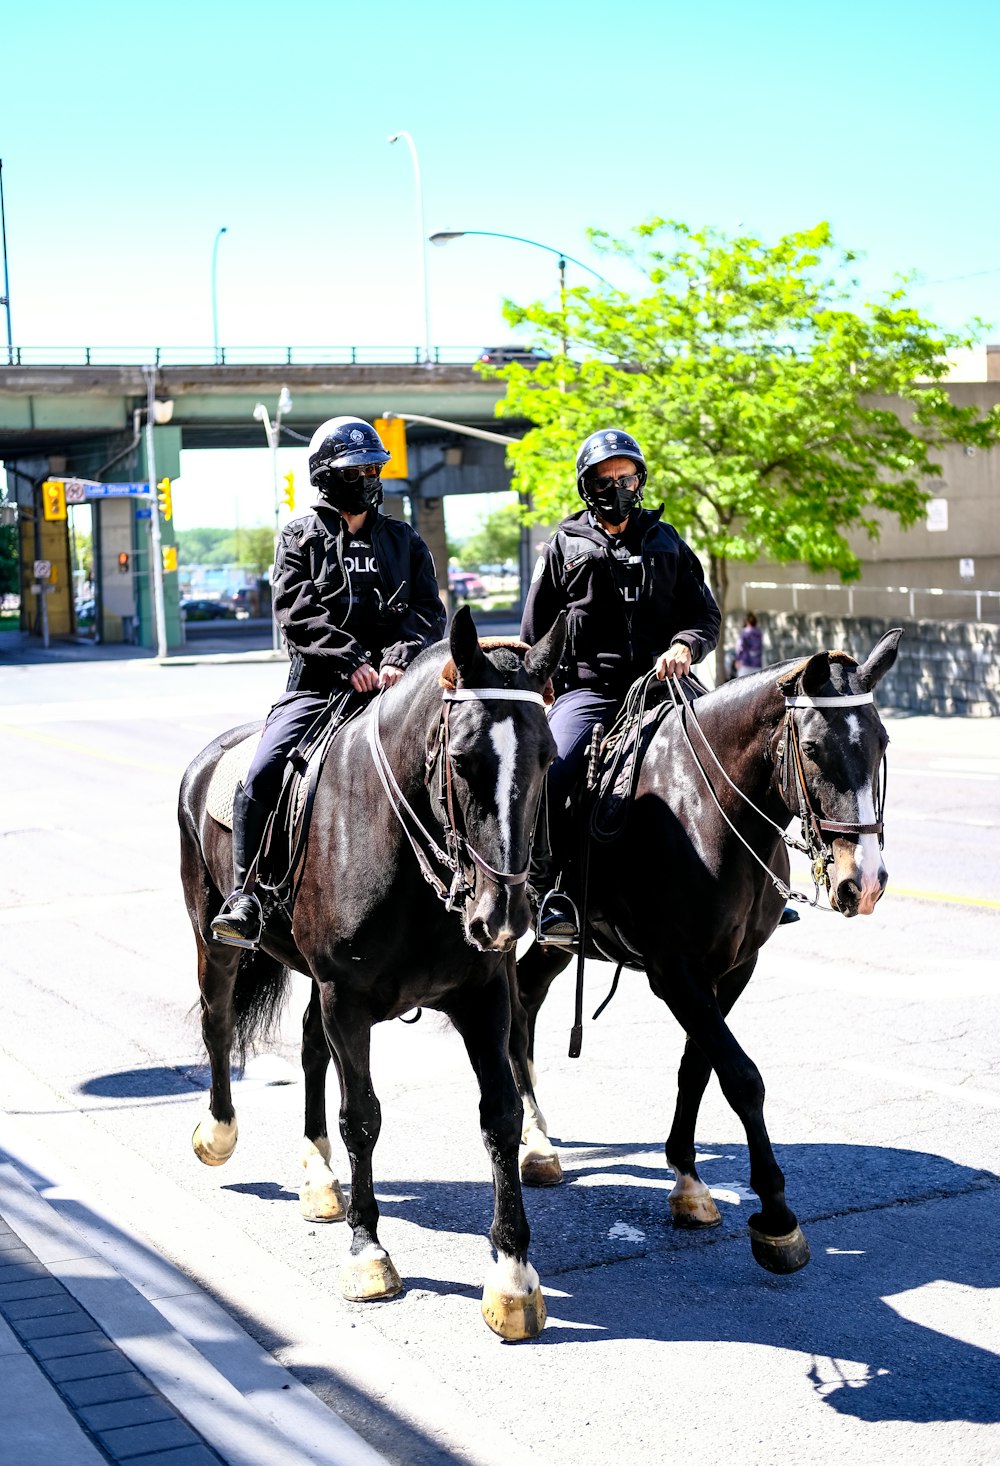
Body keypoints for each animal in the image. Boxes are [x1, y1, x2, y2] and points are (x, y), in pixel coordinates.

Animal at [178, 606, 565, 1342]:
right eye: (462, 759)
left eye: (549, 759)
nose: (502, 916)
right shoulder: (348, 997)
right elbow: (361, 1116)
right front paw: (368, 1254)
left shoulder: (482, 997)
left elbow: (501, 1114)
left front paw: (511, 1277)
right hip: (214, 934)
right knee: (218, 1022)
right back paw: (219, 1133)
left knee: (306, 1046)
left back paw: (318, 1176)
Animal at [510, 624, 897, 1278]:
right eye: (812, 747)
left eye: (883, 741)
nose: (862, 882)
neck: (709, 807)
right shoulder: (675, 972)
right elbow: (742, 1078)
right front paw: (777, 1219)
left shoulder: (733, 970)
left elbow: (698, 1067)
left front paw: (688, 1182)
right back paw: (533, 1141)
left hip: (562, 944)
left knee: (528, 995)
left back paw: (536, 1137)